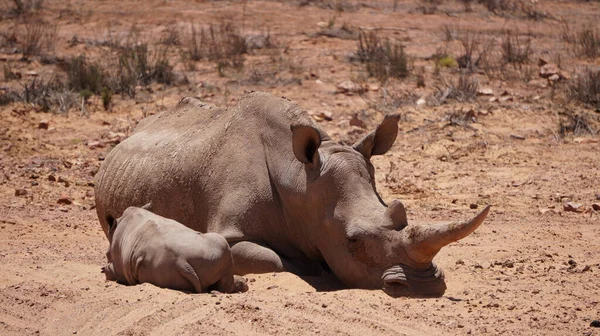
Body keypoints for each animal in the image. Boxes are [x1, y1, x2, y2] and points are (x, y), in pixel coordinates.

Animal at [102, 203, 247, 292]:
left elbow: (113, 271)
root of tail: (181, 260)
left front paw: (104, 270)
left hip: (158, 264)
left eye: (107, 254)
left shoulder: (120, 267)